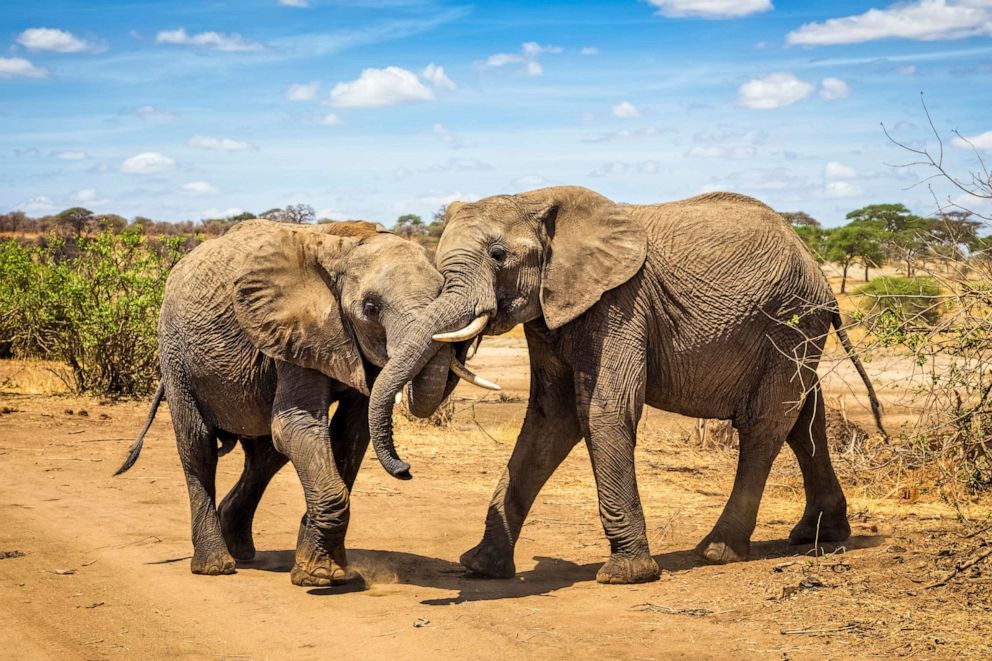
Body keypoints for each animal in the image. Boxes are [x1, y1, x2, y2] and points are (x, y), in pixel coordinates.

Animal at [114, 220, 494, 584]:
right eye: (371, 308)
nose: (406, 470)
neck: (347, 245)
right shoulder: (295, 331)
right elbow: (298, 426)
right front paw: (321, 578)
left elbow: (350, 435)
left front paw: (326, 571)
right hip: (174, 353)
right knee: (198, 447)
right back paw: (216, 566)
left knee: (266, 456)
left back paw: (241, 550)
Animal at [366, 184, 884, 584]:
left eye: (498, 256)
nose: (405, 469)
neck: (535, 198)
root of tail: (815, 265)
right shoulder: (553, 311)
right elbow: (550, 420)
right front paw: (481, 567)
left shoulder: (620, 302)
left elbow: (604, 411)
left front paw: (627, 575)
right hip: (796, 330)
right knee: (804, 420)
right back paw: (820, 536)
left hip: (790, 319)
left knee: (765, 425)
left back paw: (717, 551)